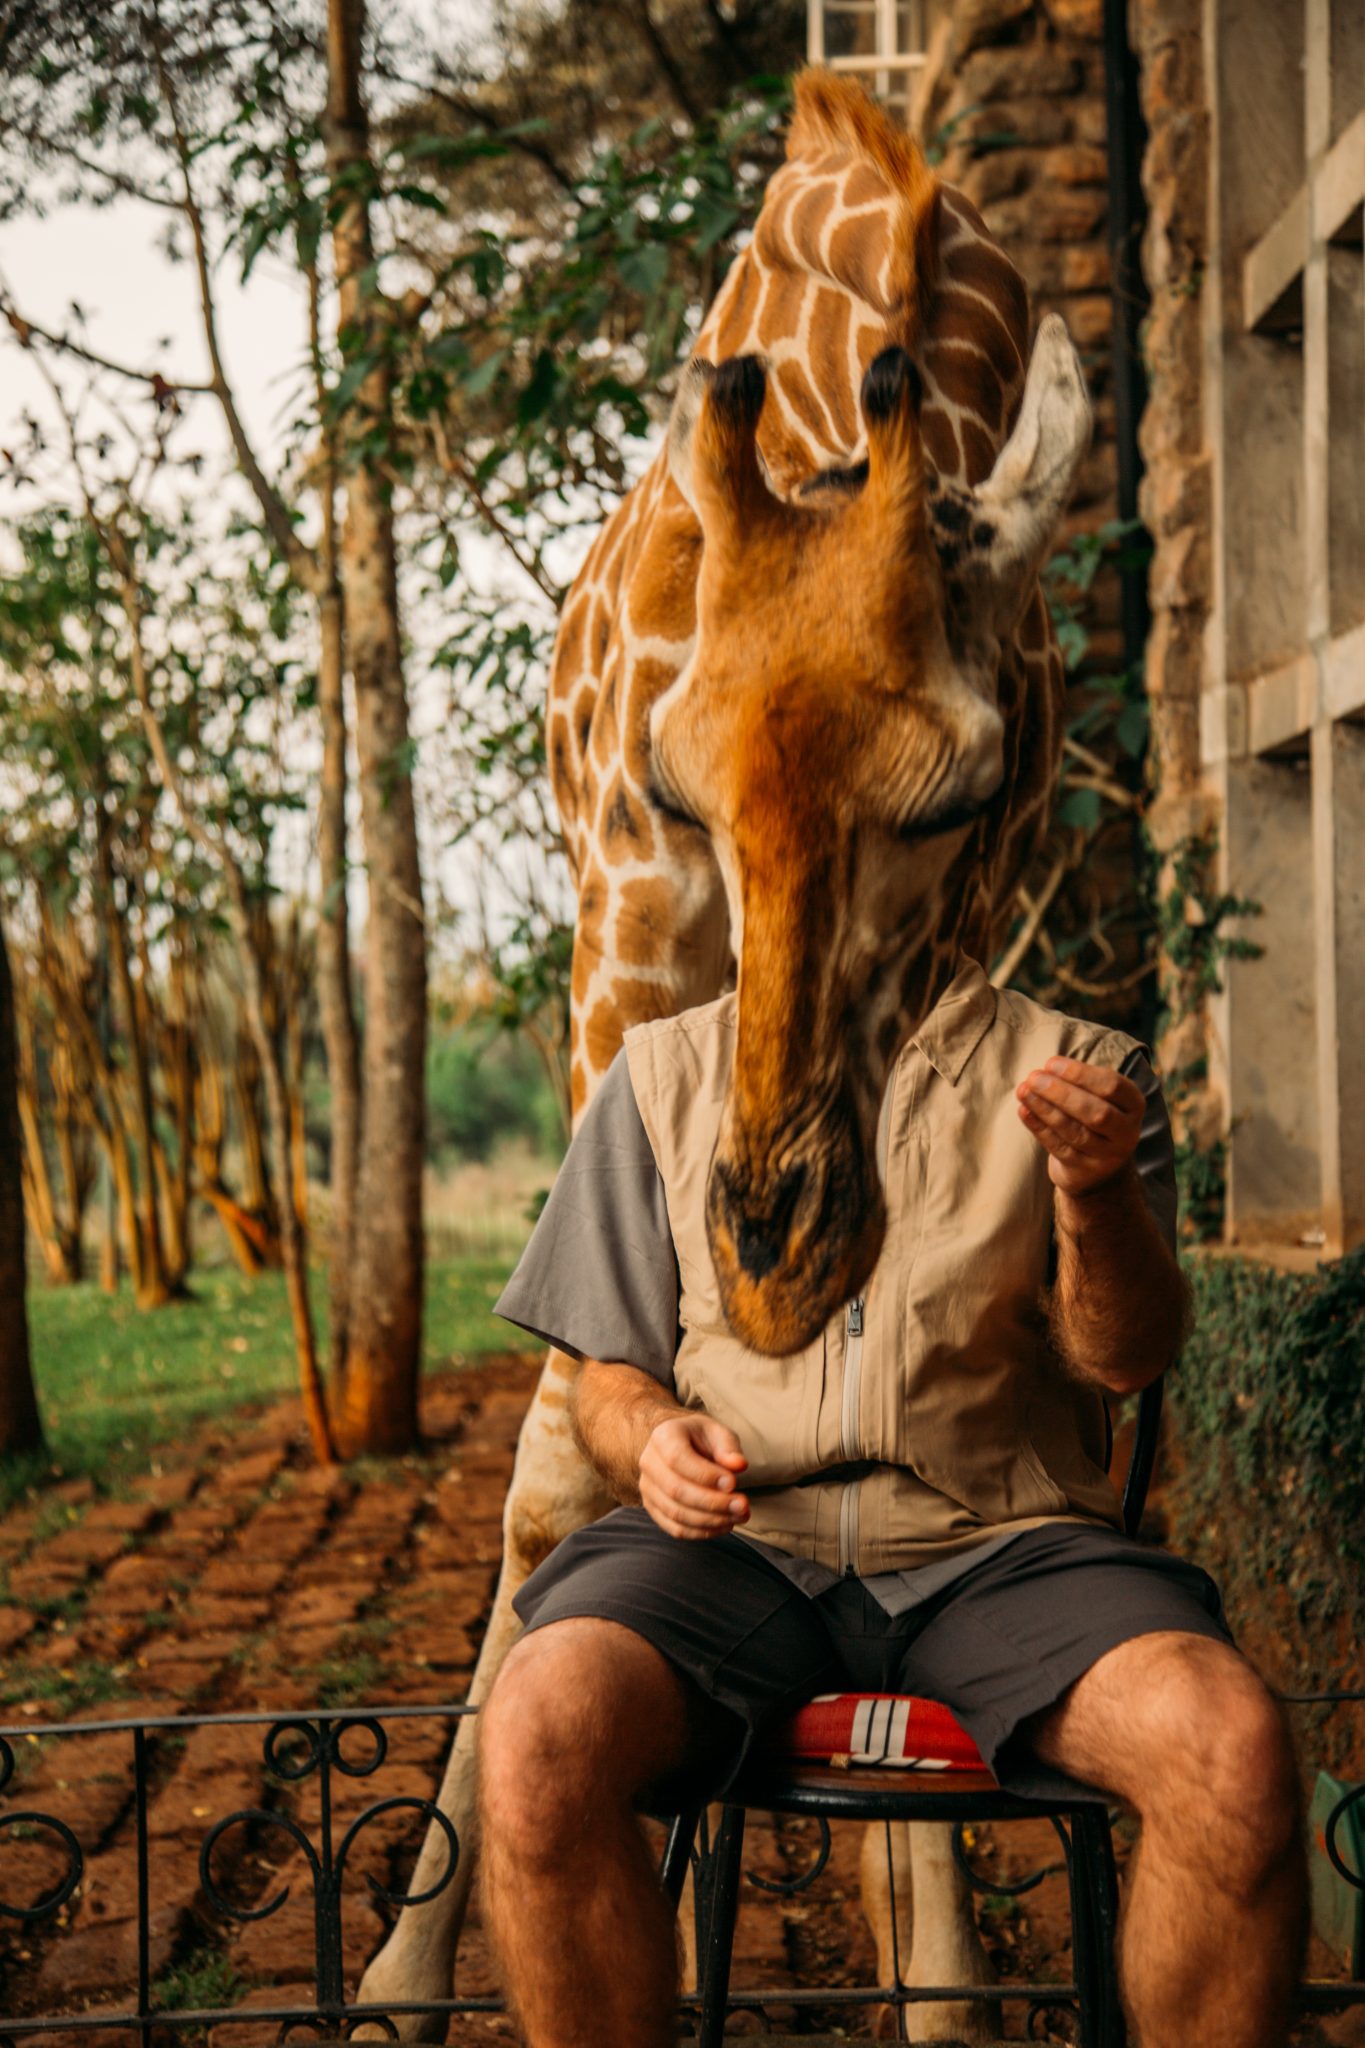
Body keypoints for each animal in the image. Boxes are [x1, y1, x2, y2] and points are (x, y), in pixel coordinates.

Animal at [358, 72, 1096, 2039]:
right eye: (682, 786)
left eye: (960, 795)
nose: (765, 1258)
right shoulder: (625, 949)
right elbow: (556, 1460)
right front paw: (399, 1970)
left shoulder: (963, 946)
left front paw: (938, 1973)